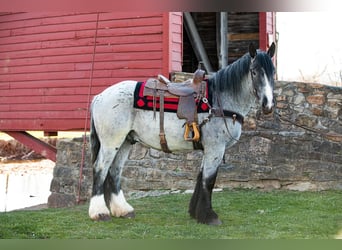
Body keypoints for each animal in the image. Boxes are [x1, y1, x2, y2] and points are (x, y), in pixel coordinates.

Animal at [87, 42, 276, 226]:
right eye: (254, 72)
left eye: (273, 72)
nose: (268, 105)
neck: (219, 101)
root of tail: (99, 97)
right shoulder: (215, 148)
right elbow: (209, 180)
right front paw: (209, 216)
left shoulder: (209, 149)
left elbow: (201, 177)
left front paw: (196, 213)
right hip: (111, 143)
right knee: (100, 168)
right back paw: (99, 212)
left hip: (126, 141)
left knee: (114, 171)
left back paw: (123, 210)